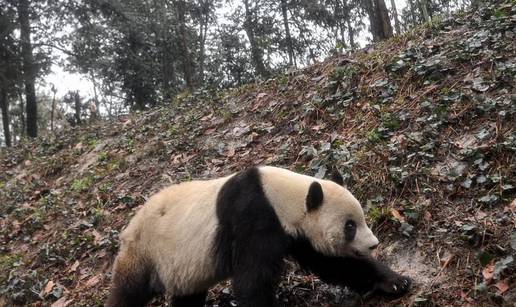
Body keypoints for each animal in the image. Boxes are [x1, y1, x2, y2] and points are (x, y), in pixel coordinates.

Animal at [106, 167, 412, 307]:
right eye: (350, 226)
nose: (373, 244)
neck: (281, 195)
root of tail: (127, 228)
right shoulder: (253, 219)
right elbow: (253, 278)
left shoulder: (296, 235)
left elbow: (333, 265)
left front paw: (396, 282)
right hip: (145, 251)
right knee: (129, 291)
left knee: (187, 296)